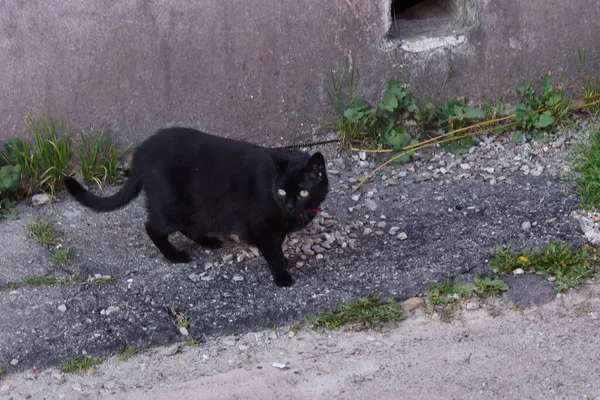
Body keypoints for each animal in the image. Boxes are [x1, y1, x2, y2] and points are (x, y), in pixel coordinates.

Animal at [63, 126, 330, 286]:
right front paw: (282, 276)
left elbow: (279, 246)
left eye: (302, 192)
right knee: (153, 228)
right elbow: (272, 251)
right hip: (171, 205)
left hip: (193, 208)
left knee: (187, 226)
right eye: (282, 191)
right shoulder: (261, 227)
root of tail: (141, 153)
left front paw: (285, 261)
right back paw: (175, 256)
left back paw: (208, 241)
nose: (290, 204)